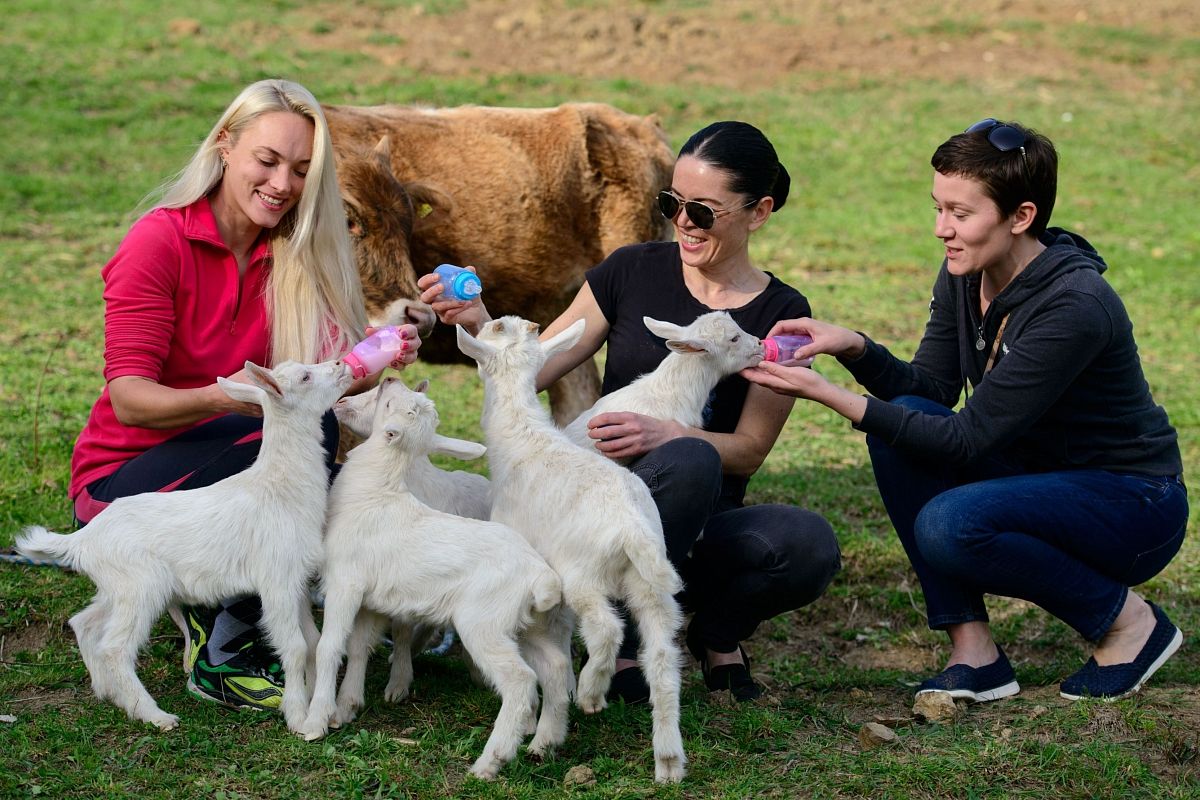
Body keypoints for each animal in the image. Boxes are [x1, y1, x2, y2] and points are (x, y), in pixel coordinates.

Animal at [14, 362, 350, 734]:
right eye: (305, 377)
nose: (341, 365)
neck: (279, 488)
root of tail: (83, 539)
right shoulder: (276, 580)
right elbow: (294, 646)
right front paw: (298, 717)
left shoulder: (297, 580)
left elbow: (312, 641)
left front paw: (319, 708)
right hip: (140, 587)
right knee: (114, 647)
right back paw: (155, 715)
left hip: (117, 588)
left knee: (84, 622)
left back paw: (108, 693)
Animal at [300, 376, 571, 782]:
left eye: (388, 403)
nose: (390, 378)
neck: (374, 494)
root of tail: (540, 576)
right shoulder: (370, 597)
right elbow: (361, 646)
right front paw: (346, 709)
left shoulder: (346, 583)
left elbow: (331, 645)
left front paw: (316, 722)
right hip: (526, 625)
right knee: (555, 667)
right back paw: (544, 743)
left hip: (483, 622)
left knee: (520, 681)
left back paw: (490, 762)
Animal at [456, 316, 691, 782]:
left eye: (495, 327)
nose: (488, 319)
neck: (522, 438)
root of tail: (632, 527)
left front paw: (540, 723)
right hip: (652, 587)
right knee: (662, 663)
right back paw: (669, 761)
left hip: (583, 573)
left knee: (607, 628)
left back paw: (592, 693)